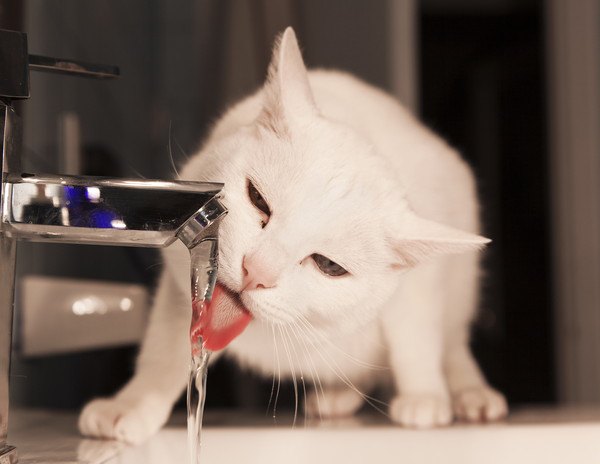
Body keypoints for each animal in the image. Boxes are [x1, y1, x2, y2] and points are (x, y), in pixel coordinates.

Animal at [78, 26, 506, 446]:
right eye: (257, 199)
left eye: (328, 265)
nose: (255, 271)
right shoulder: (180, 294)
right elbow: (163, 357)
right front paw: (131, 404)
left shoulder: (420, 289)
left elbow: (415, 340)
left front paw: (424, 397)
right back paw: (337, 397)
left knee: (451, 345)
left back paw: (470, 394)